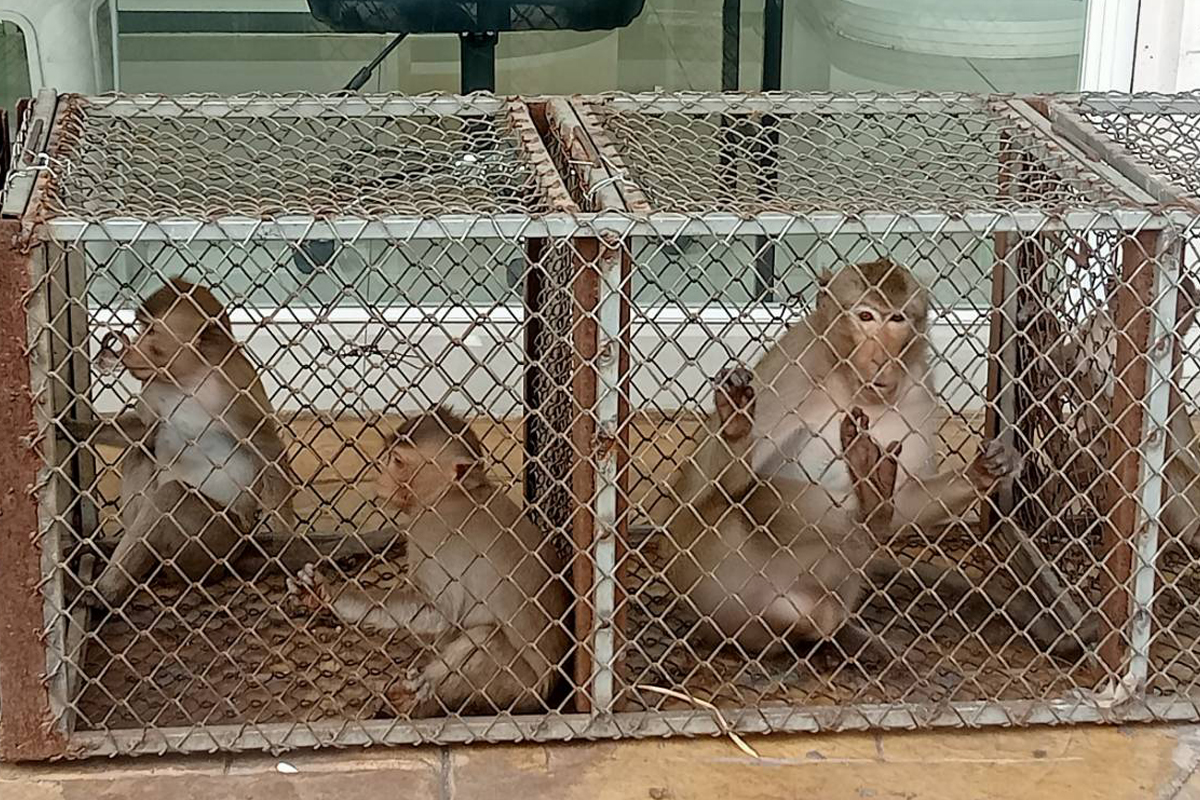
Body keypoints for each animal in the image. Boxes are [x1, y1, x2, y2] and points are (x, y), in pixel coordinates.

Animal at [65, 278, 298, 607]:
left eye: (150, 332)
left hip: (215, 543)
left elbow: (269, 452)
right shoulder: (152, 387)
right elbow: (146, 433)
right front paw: (74, 429)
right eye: (141, 327)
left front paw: (287, 551)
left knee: (170, 496)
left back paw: (104, 594)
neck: (189, 379)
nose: (133, 347)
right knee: (140, 455)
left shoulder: (236, 389)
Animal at [288, 407, 570, 718]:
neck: (456, 492)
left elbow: (440, 610)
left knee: (485, 637)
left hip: (515, 688)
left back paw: (415, 700)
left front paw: (333, 595)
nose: (381, 477)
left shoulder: (428, 530)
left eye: (398, 461)